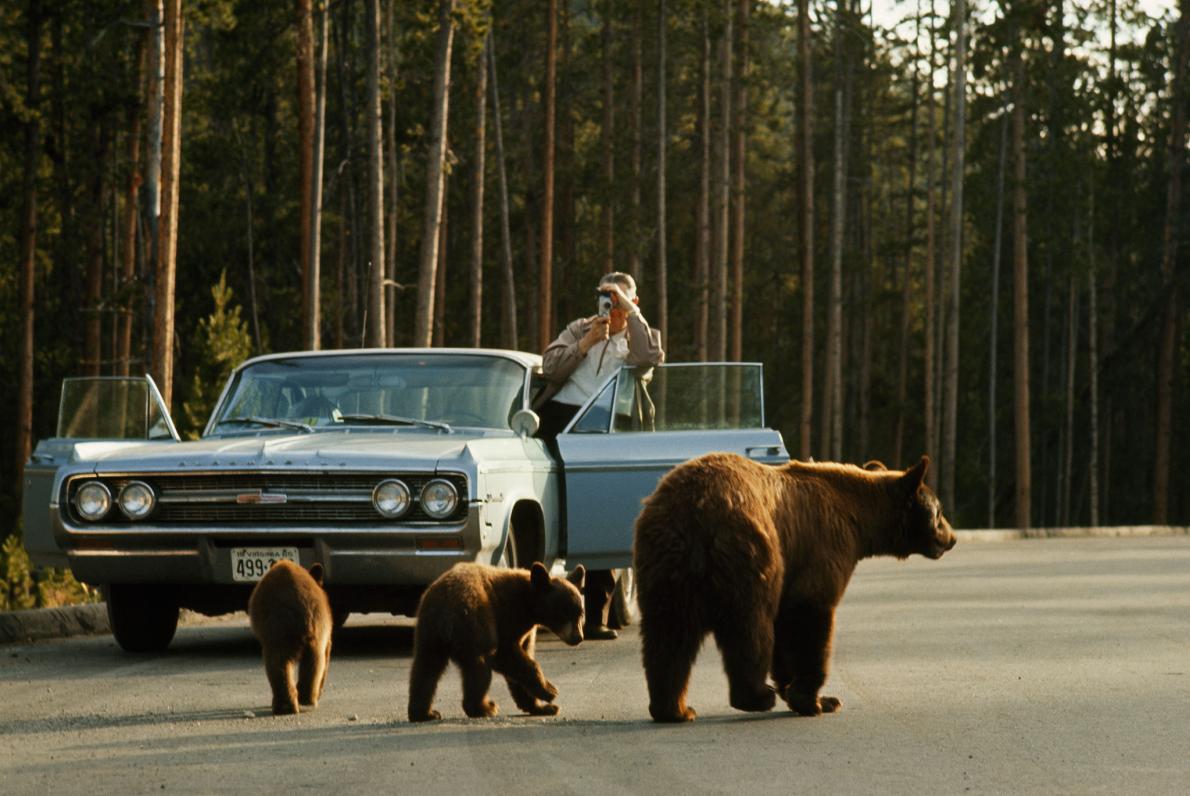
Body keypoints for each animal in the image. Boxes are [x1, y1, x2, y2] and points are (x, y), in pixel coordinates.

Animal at [633, 452, 956, 718]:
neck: (858, 519)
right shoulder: (825, 546)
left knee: (669, 632)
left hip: (666, 559)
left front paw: (810, 695)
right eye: (939, 512)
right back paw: (756, 696)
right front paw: (813, 700)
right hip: (749, 551)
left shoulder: (792, 570)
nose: (951, 538)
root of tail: (696, 511)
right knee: (750, 625)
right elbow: (810, 614)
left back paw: (674, 708)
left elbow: (786, 627)